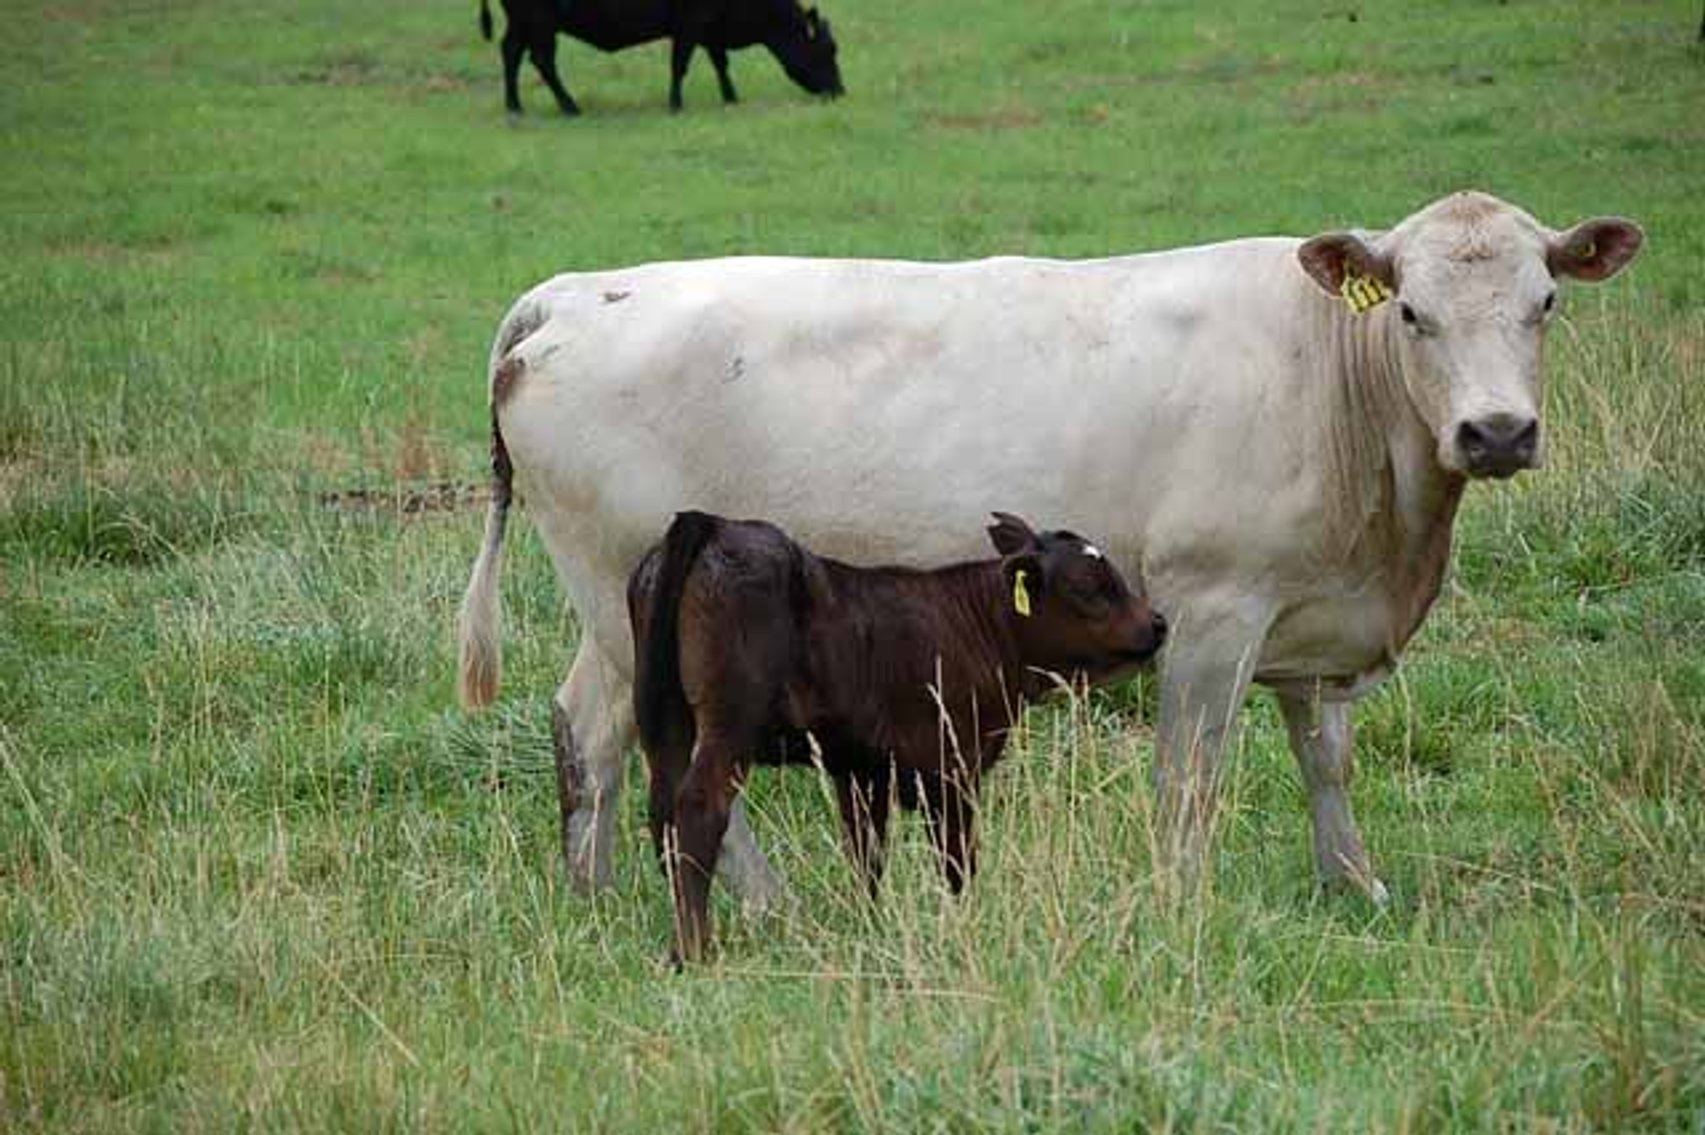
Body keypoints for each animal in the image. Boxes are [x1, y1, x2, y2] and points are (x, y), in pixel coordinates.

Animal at [456, 190, 1644, 911]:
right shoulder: (1214, 608)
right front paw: (1180, 903)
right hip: (640, 606)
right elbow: (1190, 774)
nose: (1496, 431)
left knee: (589, 731)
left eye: (1545, 302)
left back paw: (597, 891)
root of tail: (579, 291)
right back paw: (766, 903)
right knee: (670, 751)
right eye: (1408, 312)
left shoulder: (1312, 615)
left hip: (622, 610)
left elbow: (1326, 762)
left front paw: (1355, 886)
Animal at [476, 0, 843, 116]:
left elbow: (720, 64)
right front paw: (675, 104)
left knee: (511, 53)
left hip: (522, 22)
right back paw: (570, 107)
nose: (840, 91)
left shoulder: (710, 29)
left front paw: (731, 98)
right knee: (542, 60)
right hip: (540, 22)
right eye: (828, 50)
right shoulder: (690, 25)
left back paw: (514, 106)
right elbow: (680, 65)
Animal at [629, 510, 1166, 959]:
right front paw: (964, 926)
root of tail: (718, 525)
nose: (1158, 623)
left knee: (664, 809)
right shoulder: (952, 768)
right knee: (699, 807)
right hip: (730, 723)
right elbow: (956, 861)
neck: (981, 629)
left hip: (664, 718)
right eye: (1090, 588)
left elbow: (867, 852)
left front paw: (868, 926)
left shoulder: (860, 770)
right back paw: (693, 949)